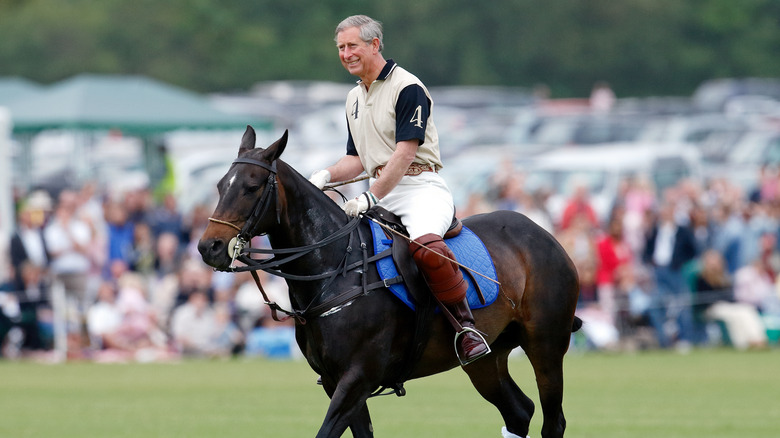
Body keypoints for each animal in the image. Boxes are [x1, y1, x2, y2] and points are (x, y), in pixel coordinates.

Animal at [198, 126, 580, 438]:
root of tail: (544, 234)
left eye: (251, 187)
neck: (336, 267)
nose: (208, 247)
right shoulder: (336, 381)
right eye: (219, 185)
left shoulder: (357, 377)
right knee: (519, 412)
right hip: (488, 359)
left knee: (553, 421)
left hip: (546, 344)